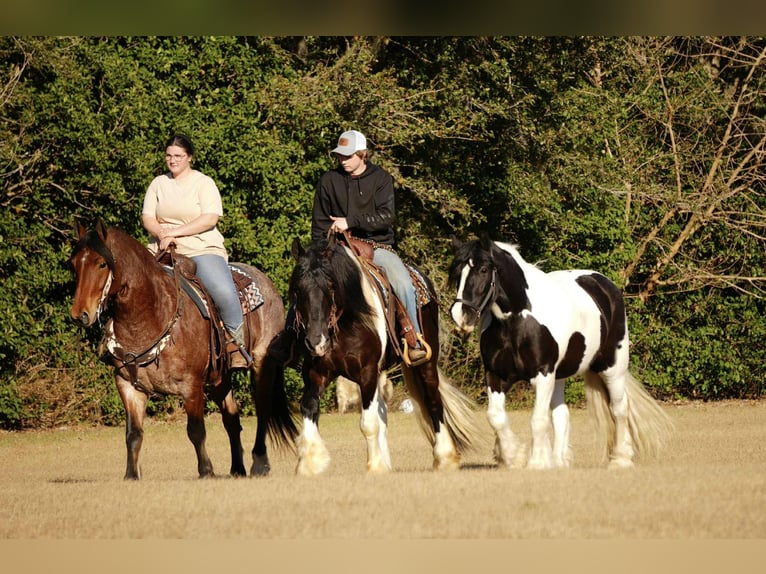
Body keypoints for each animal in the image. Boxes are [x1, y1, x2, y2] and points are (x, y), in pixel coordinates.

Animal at [68, 219, 297, 479]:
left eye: (101, 263)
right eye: (73, 264)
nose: (80, 314)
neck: (152, 315)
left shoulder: (191, 385)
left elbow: (196, 430)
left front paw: (206, 471)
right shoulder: (128, 385)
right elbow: (133, 434)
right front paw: (131, 475)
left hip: (262, 365)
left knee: (262, 410)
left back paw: (259, 464)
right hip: (221, 377)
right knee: (231, 417)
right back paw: (237, 468)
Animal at [288, 234, 482, 475]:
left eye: (331, 285)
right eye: (297, 288)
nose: (316, 342)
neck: (347, 321)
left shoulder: (367, 372)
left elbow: (368, 423)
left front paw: (375, 466)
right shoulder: (317, 373)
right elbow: (309, 407)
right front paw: (310, 462)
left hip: (425, 363)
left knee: (433, 401)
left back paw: (445, 457)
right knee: (383, 412)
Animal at [448, 233, 673, 470]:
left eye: (483, 269)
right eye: (456, 273)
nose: (461, 316)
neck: (517, 321)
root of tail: (604, 284)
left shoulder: (543, 373)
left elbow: (538, 420)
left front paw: (537, 463)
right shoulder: (496, 375)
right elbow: (495, 417)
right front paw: (513, 457)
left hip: (612, 367)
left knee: (619, 409)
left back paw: (620, 459)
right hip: (560, 376)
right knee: (561, 414)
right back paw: (559, 461)